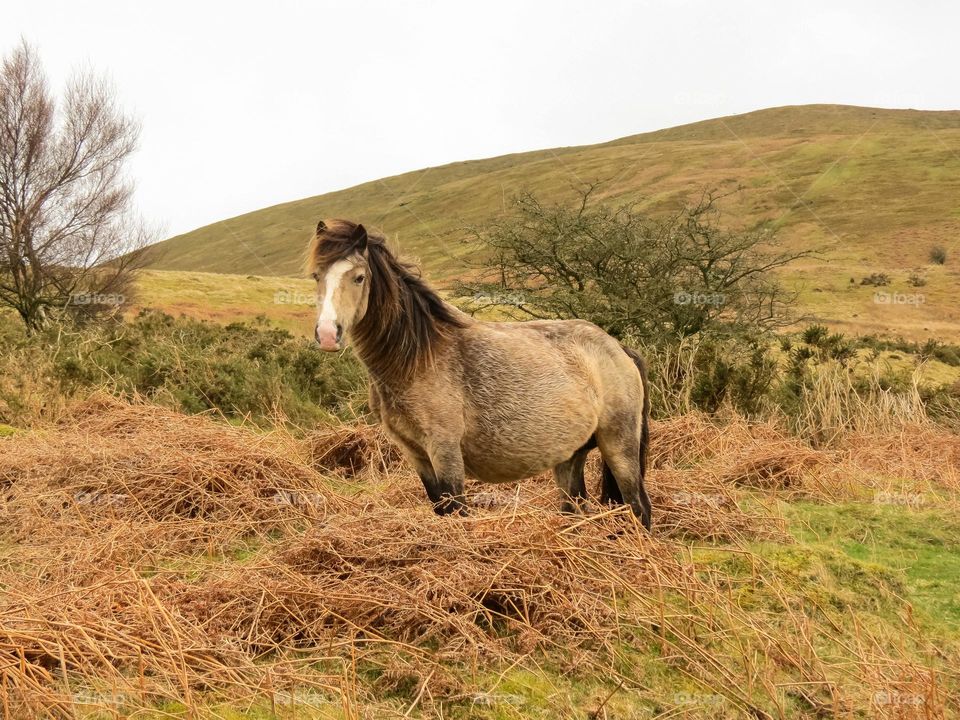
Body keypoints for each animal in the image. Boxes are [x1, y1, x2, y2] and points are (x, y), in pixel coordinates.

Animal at [305, 219, 653, 530]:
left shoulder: (445, 451)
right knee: (575, 509)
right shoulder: (417, 455)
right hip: (570, 456)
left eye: (359, 277)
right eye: (316, 276)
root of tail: (618, 348)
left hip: (619, 445)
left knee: (639, 507)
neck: (417, 357)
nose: (327, 334)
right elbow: (442, 511)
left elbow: (458, 513)